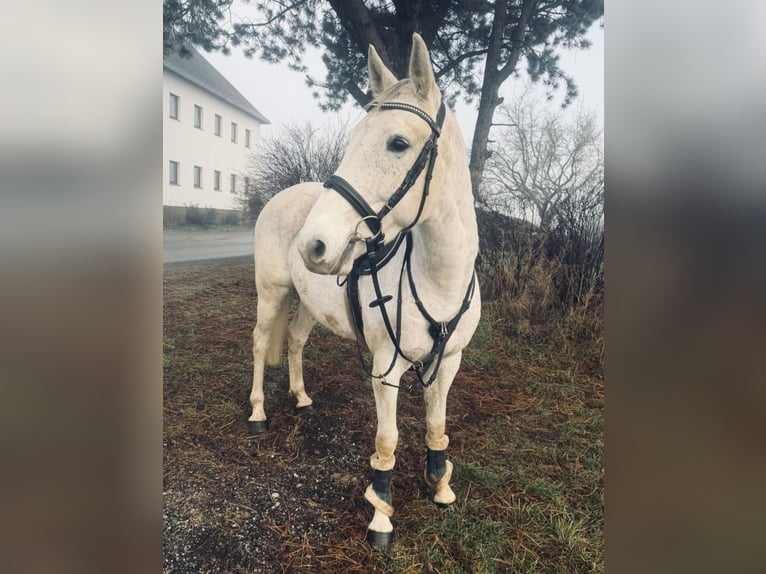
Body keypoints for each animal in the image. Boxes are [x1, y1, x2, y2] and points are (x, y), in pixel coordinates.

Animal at [248, 33, 481, 547]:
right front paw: (381, 514)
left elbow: (437, 426)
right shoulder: (386, 368)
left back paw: (301, 397)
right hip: (271, 293)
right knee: (259, 343)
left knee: (295, 340)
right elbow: (386, 440)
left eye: (398, 143)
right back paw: (257, 413)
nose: (314, 245)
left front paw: (440, 486)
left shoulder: (448, 363)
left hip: (309, 304)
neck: (438, 280)